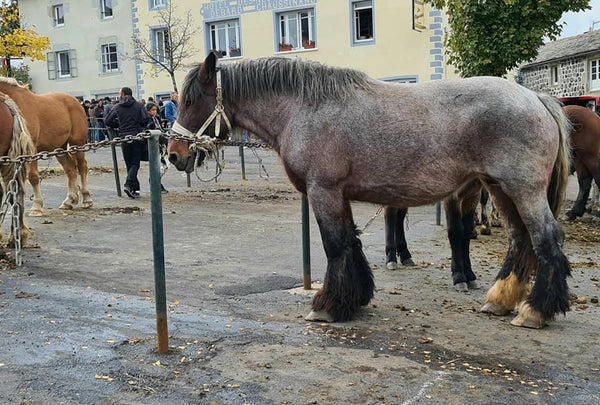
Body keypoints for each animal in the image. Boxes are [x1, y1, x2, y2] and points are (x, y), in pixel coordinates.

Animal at [0, 76, 92, 215]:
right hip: (60, 149)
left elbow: (32, 177)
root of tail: (75, 101)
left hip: (77, 143)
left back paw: (86, 199)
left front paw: (37, 206)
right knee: (70, 170)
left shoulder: (31, 151)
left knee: (82, 167)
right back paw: (68, 201)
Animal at [169, 52, 572, 328]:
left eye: (190, 100)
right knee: (520, 239)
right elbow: (351, 243)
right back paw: (501, 299)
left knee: (545, 240)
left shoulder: (324, 191)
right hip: (499, 189)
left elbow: (335, 245)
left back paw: (534, 311)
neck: (305, 108)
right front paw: (355, 298)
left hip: (522, 190)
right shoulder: (339, 195)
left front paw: (327, 306)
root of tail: (536, 99)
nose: (173, 154)